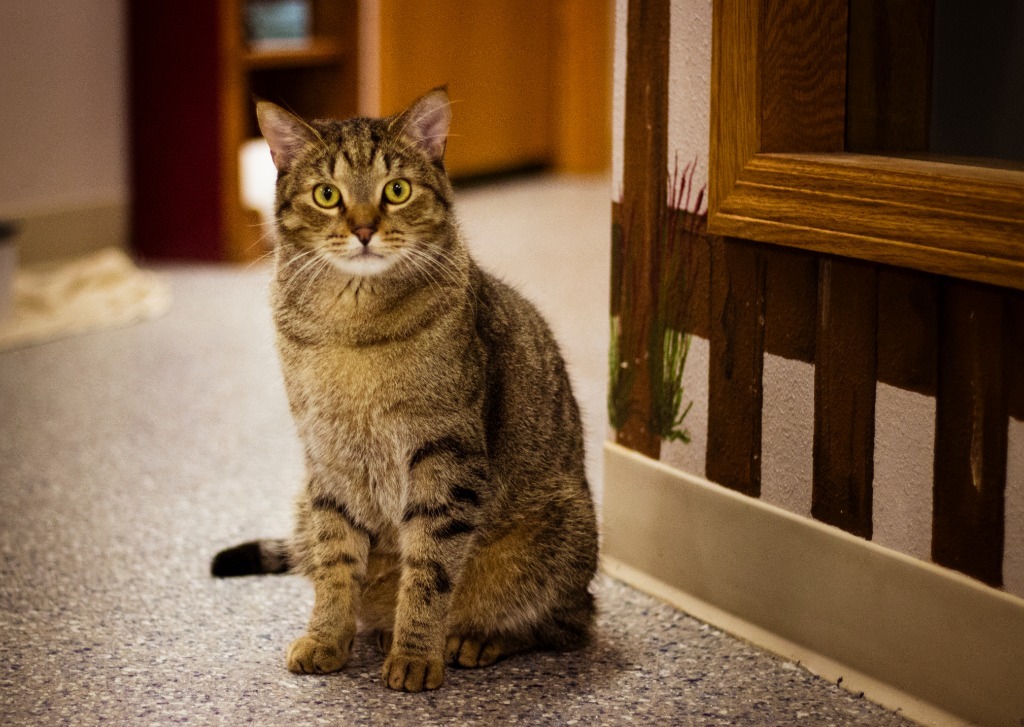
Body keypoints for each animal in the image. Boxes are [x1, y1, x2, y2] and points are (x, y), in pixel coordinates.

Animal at [214, 88, 598, 692]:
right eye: (327, 195)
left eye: (396, 190)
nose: (364, 228)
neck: (352, 324)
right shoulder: (328, 458)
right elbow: (335, 563)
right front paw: (327, 638)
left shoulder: (445, 455)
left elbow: (430, 568)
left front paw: (416, 653)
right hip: (301, 505)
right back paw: (376, 630)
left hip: (561, 533)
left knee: (564, 624)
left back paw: (476, 638)